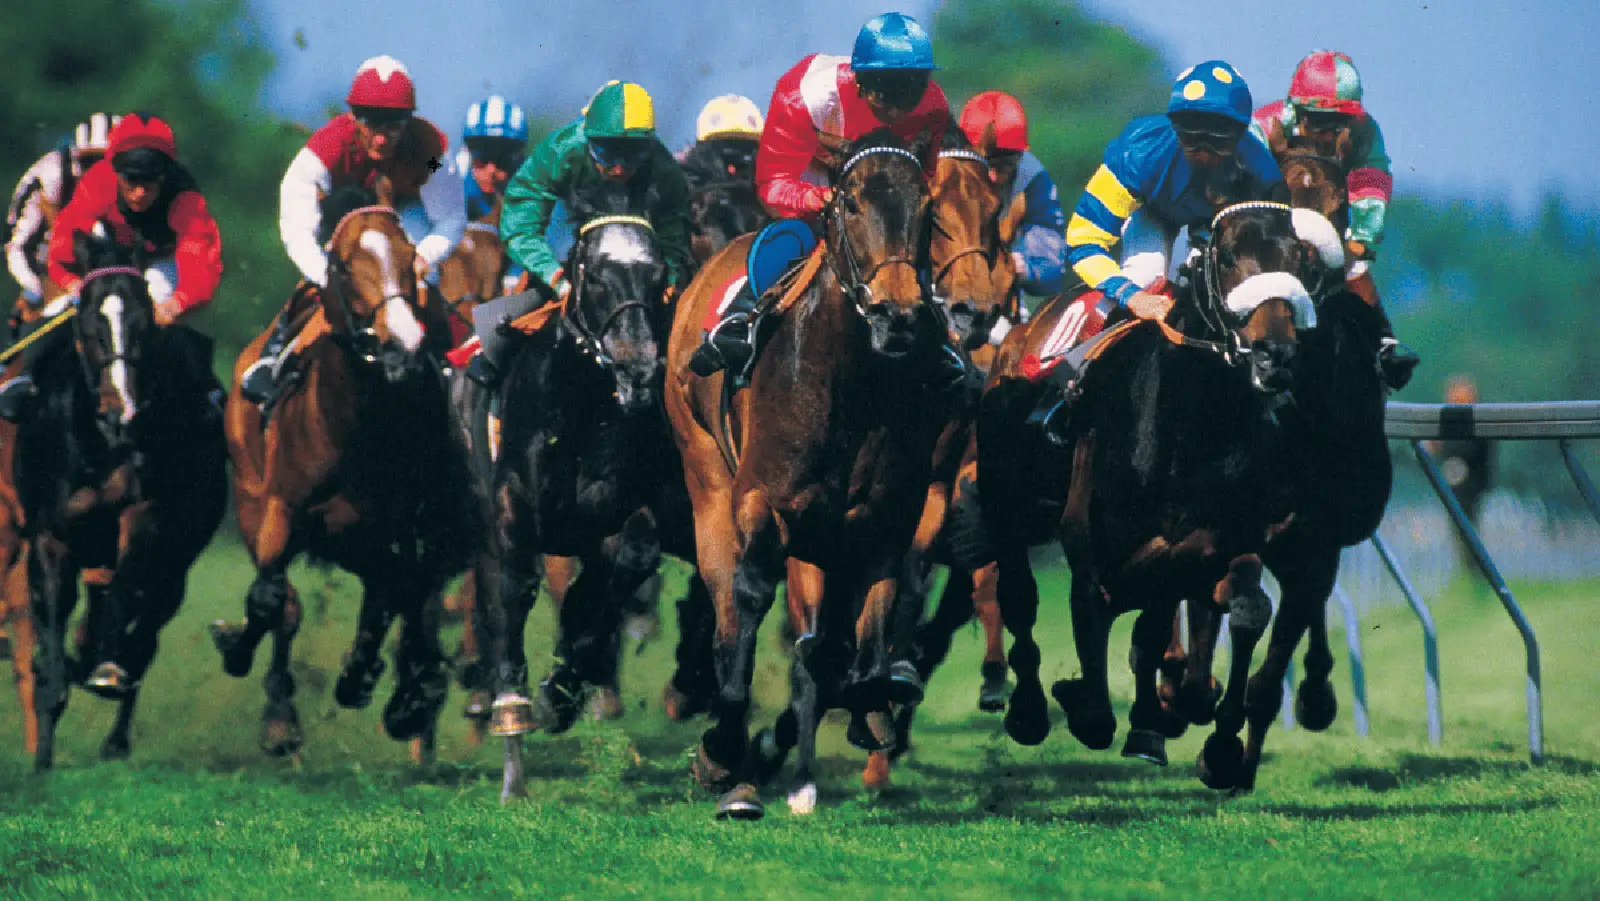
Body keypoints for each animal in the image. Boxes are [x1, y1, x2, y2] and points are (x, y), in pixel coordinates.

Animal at [2, 226, 227, 769]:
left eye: (145, 322)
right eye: (87, 321)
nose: (118, 406)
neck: (103, 441)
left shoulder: (146, 520)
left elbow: (128, 593)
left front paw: (103, 668)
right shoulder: (50, 532)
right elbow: (51, 629)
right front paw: (42, 756)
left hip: (178, 563)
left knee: (144, 635)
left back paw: (115, 729)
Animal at [214, 180, 477, 761]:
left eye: (410, 258)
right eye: (341, 264)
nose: (400, 344)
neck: (355, 421)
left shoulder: (400, 526)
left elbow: (400, 596)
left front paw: (395, 690)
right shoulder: (283, 509)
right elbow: (269, 600)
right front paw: (247, 668)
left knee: (394, 596)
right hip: (255, 499)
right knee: (290, 604)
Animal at [667, 128, 948, 819]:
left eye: (928, 208)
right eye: (848, 202)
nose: (899, 316)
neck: (851, 383)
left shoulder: (884, 519)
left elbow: (857, 650)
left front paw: (868, 710)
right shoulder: (763, 502)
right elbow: (751, 605)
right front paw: (723, 751)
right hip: (706, 478)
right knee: (727, 609)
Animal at [975, 202, 1339, 774]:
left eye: (1302, 261)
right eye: (1228, 256)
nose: (1274, 354)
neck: (1183, 415)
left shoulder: (1213, 530)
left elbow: (1170, 604)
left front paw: (1167, 719)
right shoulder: (1088, 531)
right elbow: (1093, 602)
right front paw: (1090, 705)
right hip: (1006, 505)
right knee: (1020, 598)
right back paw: (1030, 709)